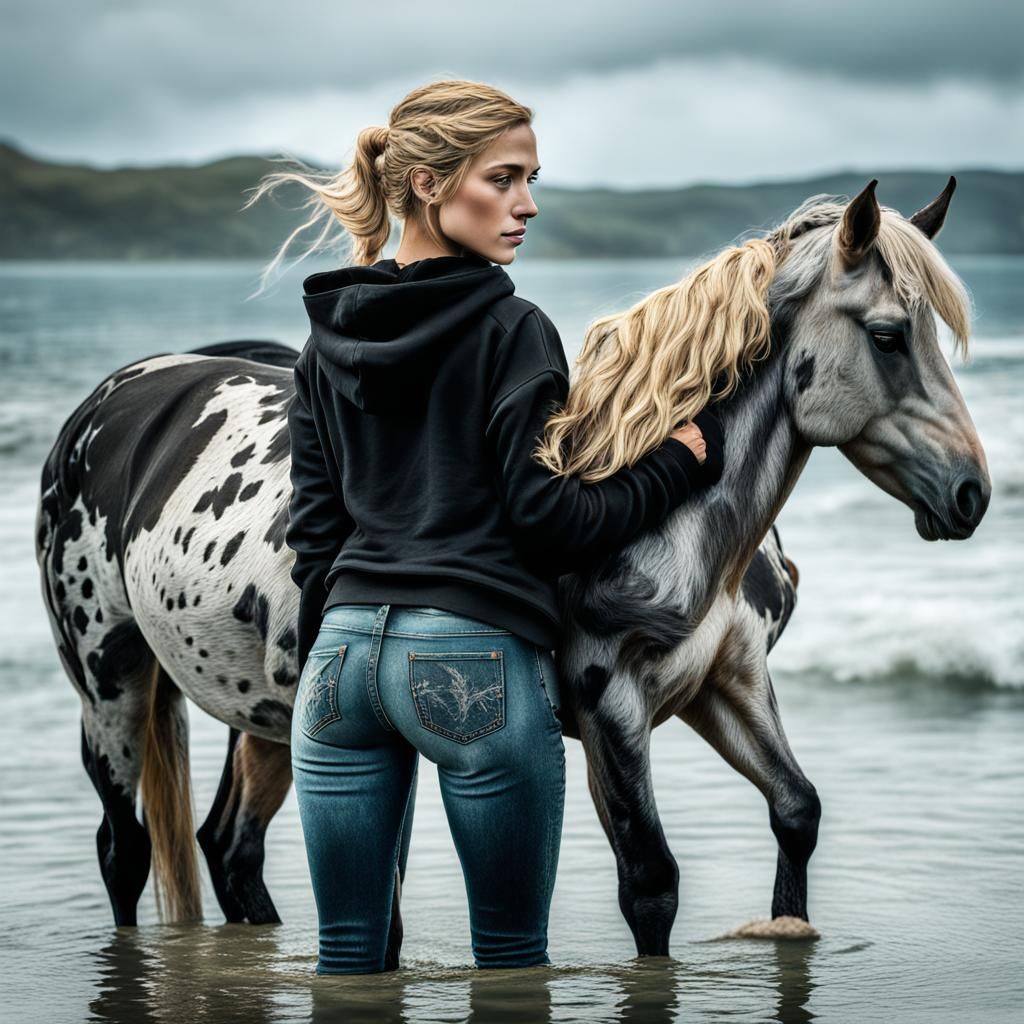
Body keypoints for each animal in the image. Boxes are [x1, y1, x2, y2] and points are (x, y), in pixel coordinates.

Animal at [33, 177, 986, 961]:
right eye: (889, 336)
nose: (971, 492)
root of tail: (112, 403)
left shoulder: (729, 682)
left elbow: (797, 811)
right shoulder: (611, 710)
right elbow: (651, 885)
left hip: (270, 716)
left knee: (230, 847)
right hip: (110, 688)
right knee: (124, 848)